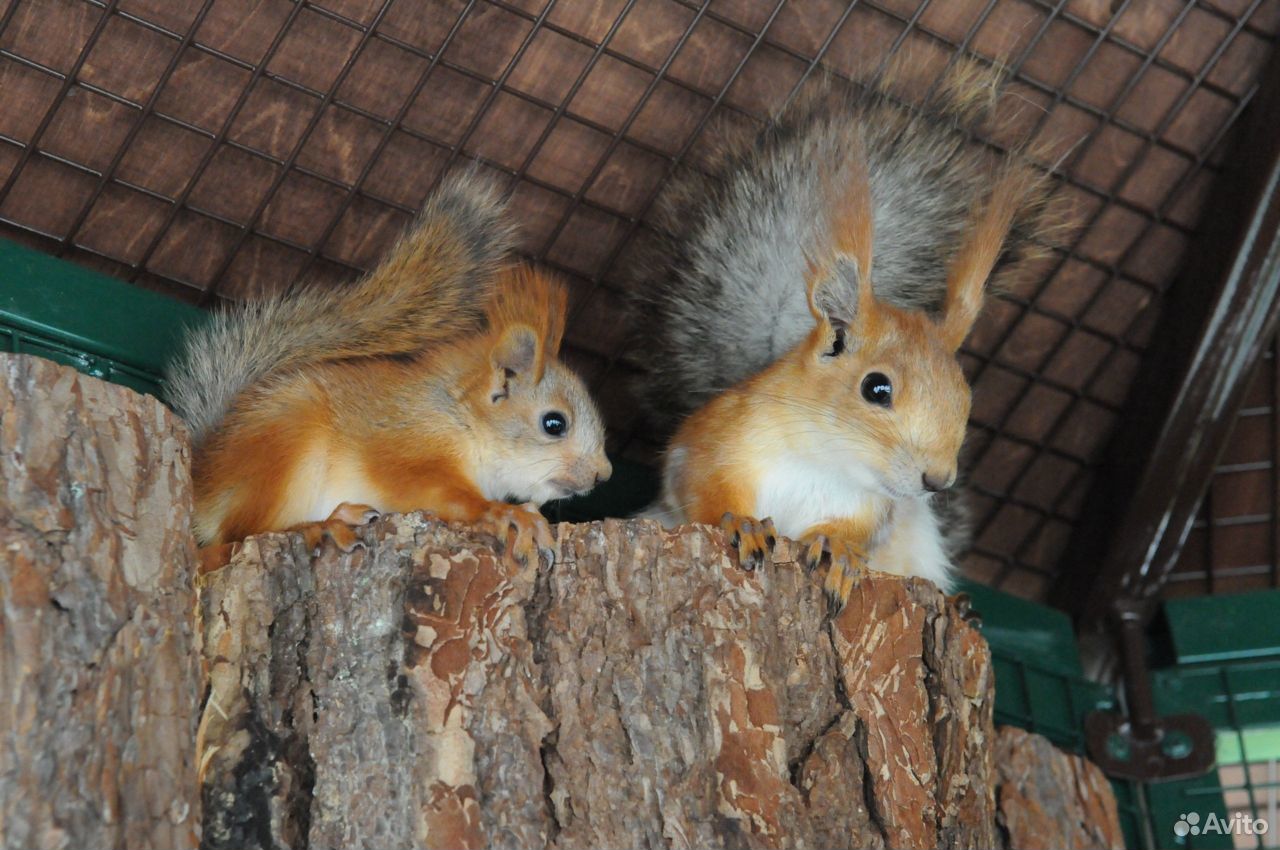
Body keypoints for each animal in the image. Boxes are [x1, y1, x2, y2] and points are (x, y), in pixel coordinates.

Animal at [166, 174, 614, 563]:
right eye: (554, 424)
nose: (603, 475)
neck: (459, 418)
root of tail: (205, 479)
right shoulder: (406, 446)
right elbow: (433, 492)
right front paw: (507, 514)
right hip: (283, 448)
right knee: (236, 535)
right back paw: (322, 524)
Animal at [629, 61, 1059, 611]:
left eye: (966, 400)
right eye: (876, 388)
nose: (937, 479)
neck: (827, 458)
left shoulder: (873, 508)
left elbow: (856, 533)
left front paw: (837, 547)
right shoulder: (712, 442)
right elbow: (699, 489)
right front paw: (742, 522)